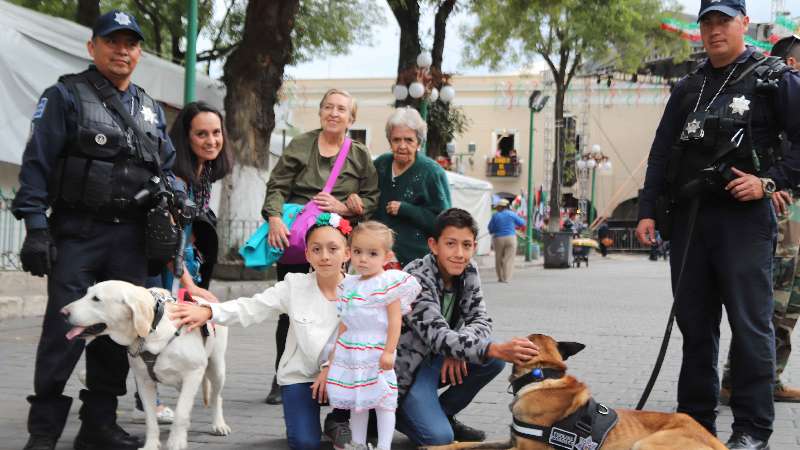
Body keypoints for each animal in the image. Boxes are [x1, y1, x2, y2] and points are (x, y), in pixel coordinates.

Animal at [63, 280, 228, 450]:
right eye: (86, 293)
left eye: (96, 299)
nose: (63, 312)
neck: (152, 331)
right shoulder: (144, 382)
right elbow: (151, 419)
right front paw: (151, 445)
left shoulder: (193, 373)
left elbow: (181, 412)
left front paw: (176, 442)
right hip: (181, 383)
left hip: (216, 369)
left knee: (216, 397)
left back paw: (219, 424)